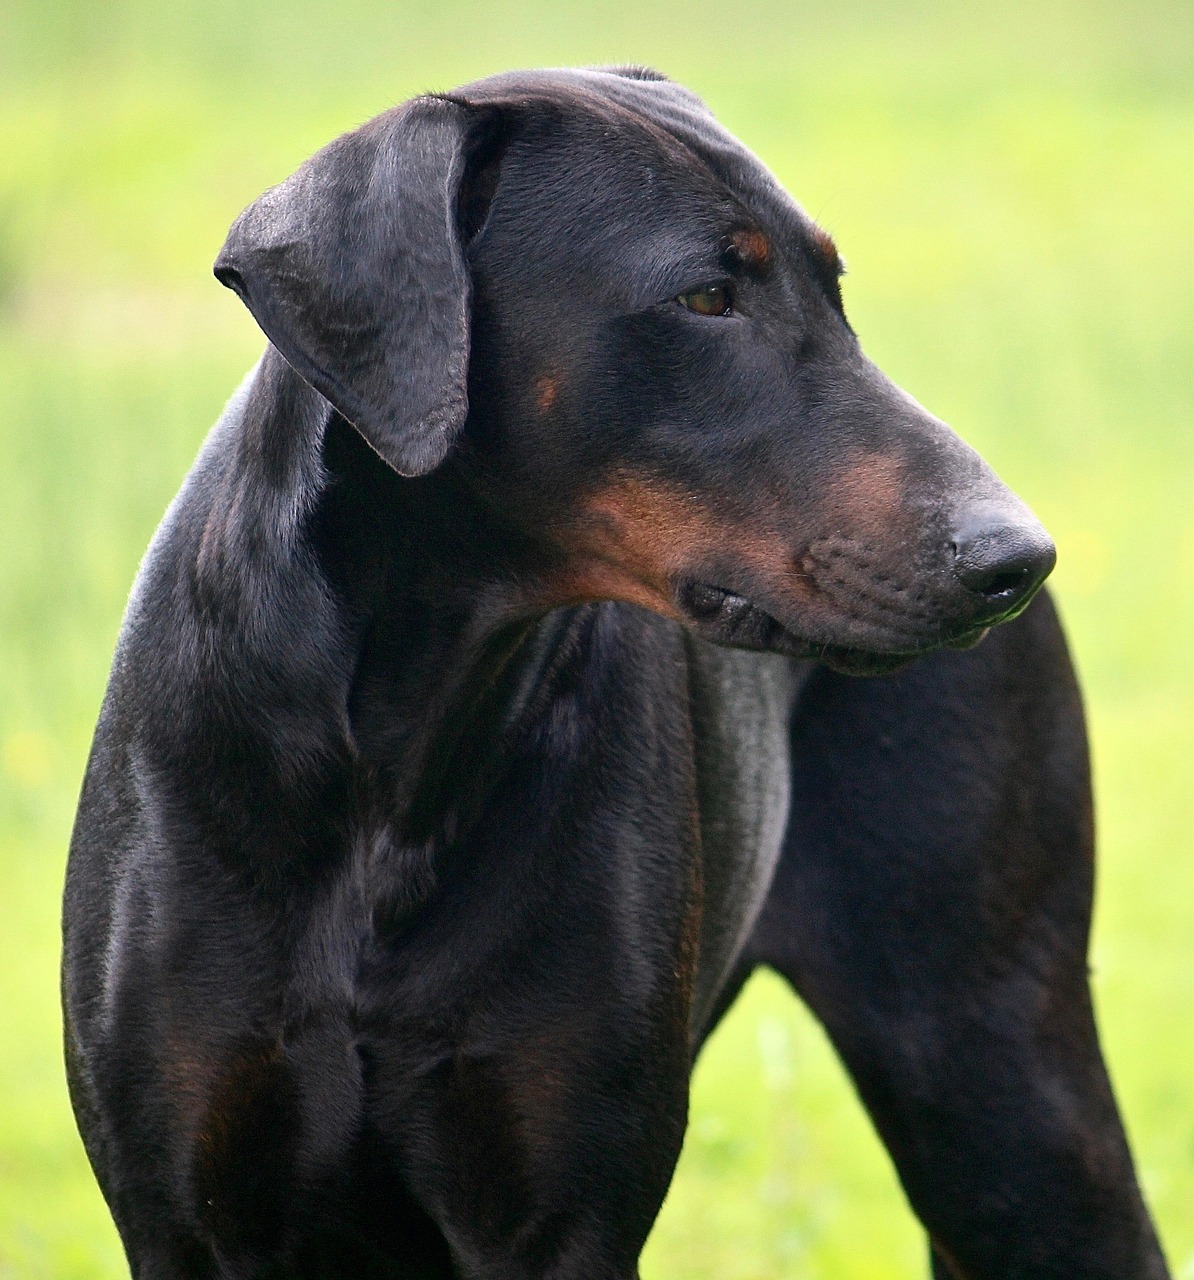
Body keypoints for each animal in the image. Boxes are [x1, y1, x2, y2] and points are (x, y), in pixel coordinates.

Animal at [60, 70, 1167, 1280]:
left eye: (834, 287)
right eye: (705, 297)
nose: (1016, 558)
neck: (391, 761)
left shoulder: (559, 1219)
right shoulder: (185, 1218)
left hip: (1001, 1085)